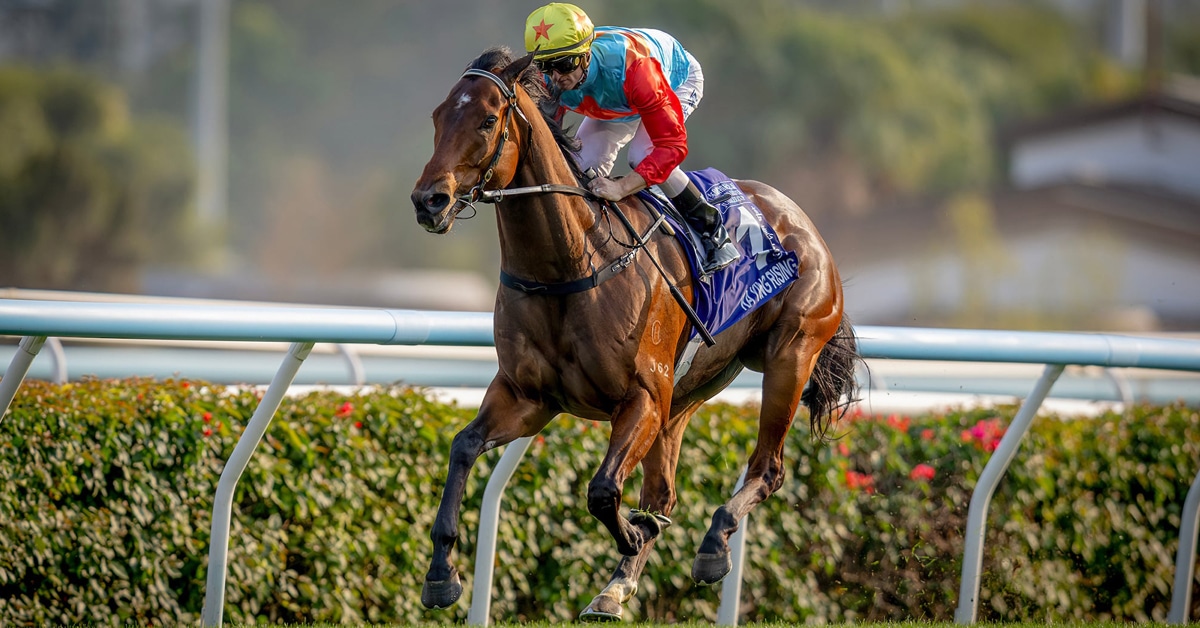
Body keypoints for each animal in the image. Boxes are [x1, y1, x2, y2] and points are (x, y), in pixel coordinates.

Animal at [409, 47, 858, 621]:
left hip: (790, 354)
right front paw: (441, 575)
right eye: (438, 116)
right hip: (687, 392)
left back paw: (711, 546)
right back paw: (618, 583)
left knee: (767, 469)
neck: (571, 265)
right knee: (664, 492)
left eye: (488, 119)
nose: (429, 200)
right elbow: (463, 446)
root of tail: (800, 219)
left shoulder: (641, 396)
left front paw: (633, 534)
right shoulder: (529, 397)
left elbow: (602, 491)